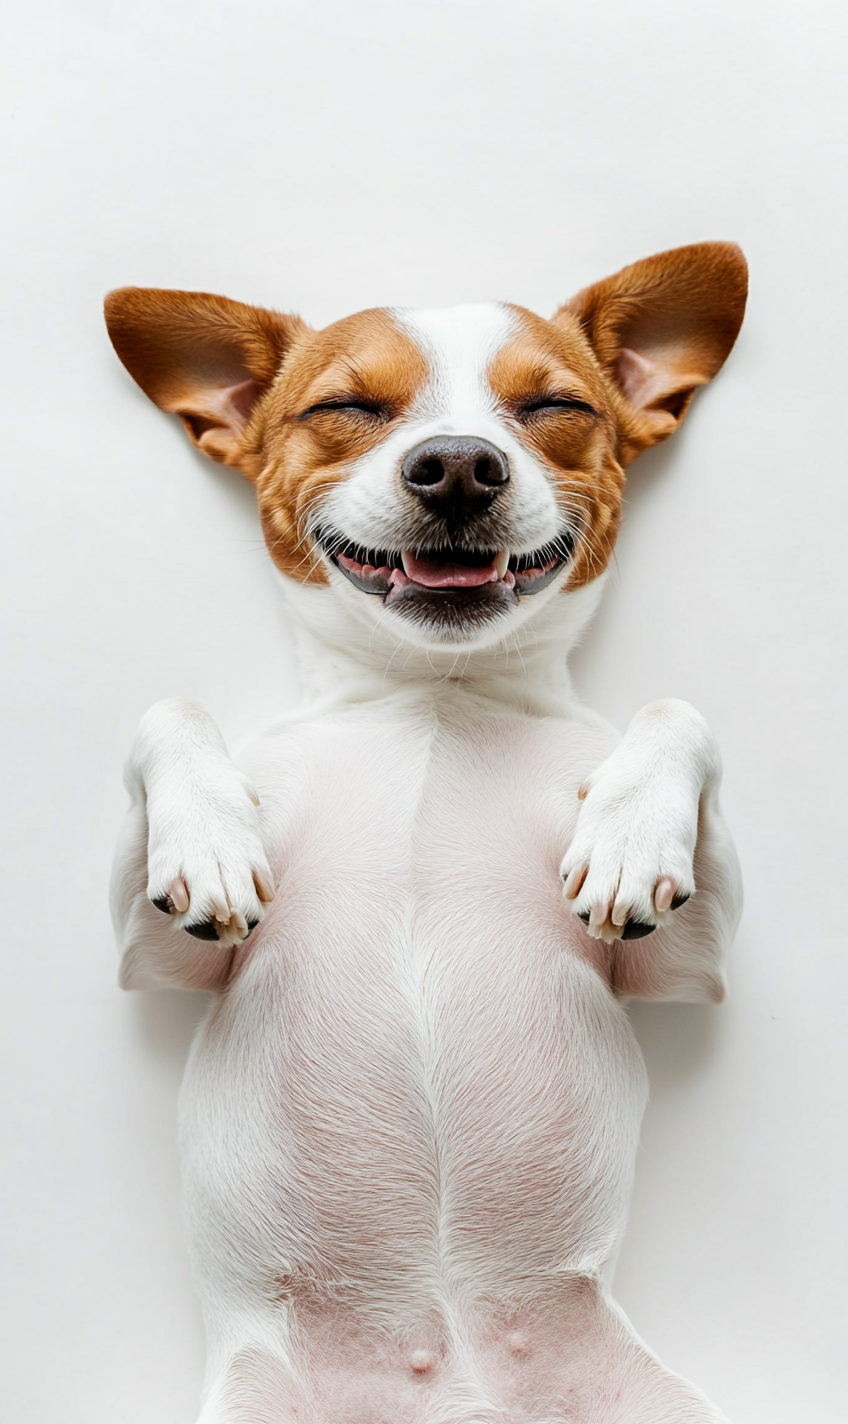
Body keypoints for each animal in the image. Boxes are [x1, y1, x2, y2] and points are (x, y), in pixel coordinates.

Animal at [106, 239, 751, 1418]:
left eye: (552, 406)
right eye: (347, 406)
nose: (456, 464)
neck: (432, 696)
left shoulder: (688, 969)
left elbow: (678, 710)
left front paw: (631, 834)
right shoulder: (153, 956)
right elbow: (169, 708)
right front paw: (210, 839)